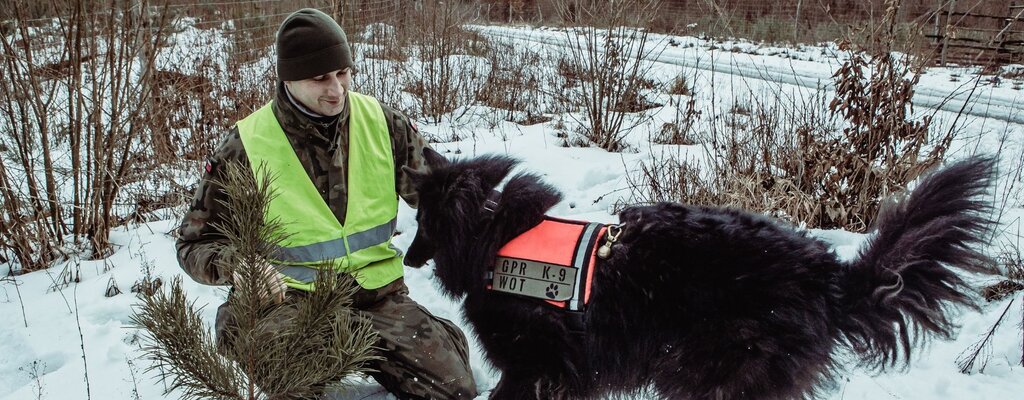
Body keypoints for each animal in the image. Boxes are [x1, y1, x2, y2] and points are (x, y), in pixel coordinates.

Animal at [403, 150, 995, 400]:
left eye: (423, 222)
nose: (405, 259)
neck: (490, 231)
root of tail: (829, 274)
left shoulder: (539, 365)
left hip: (710, 372)